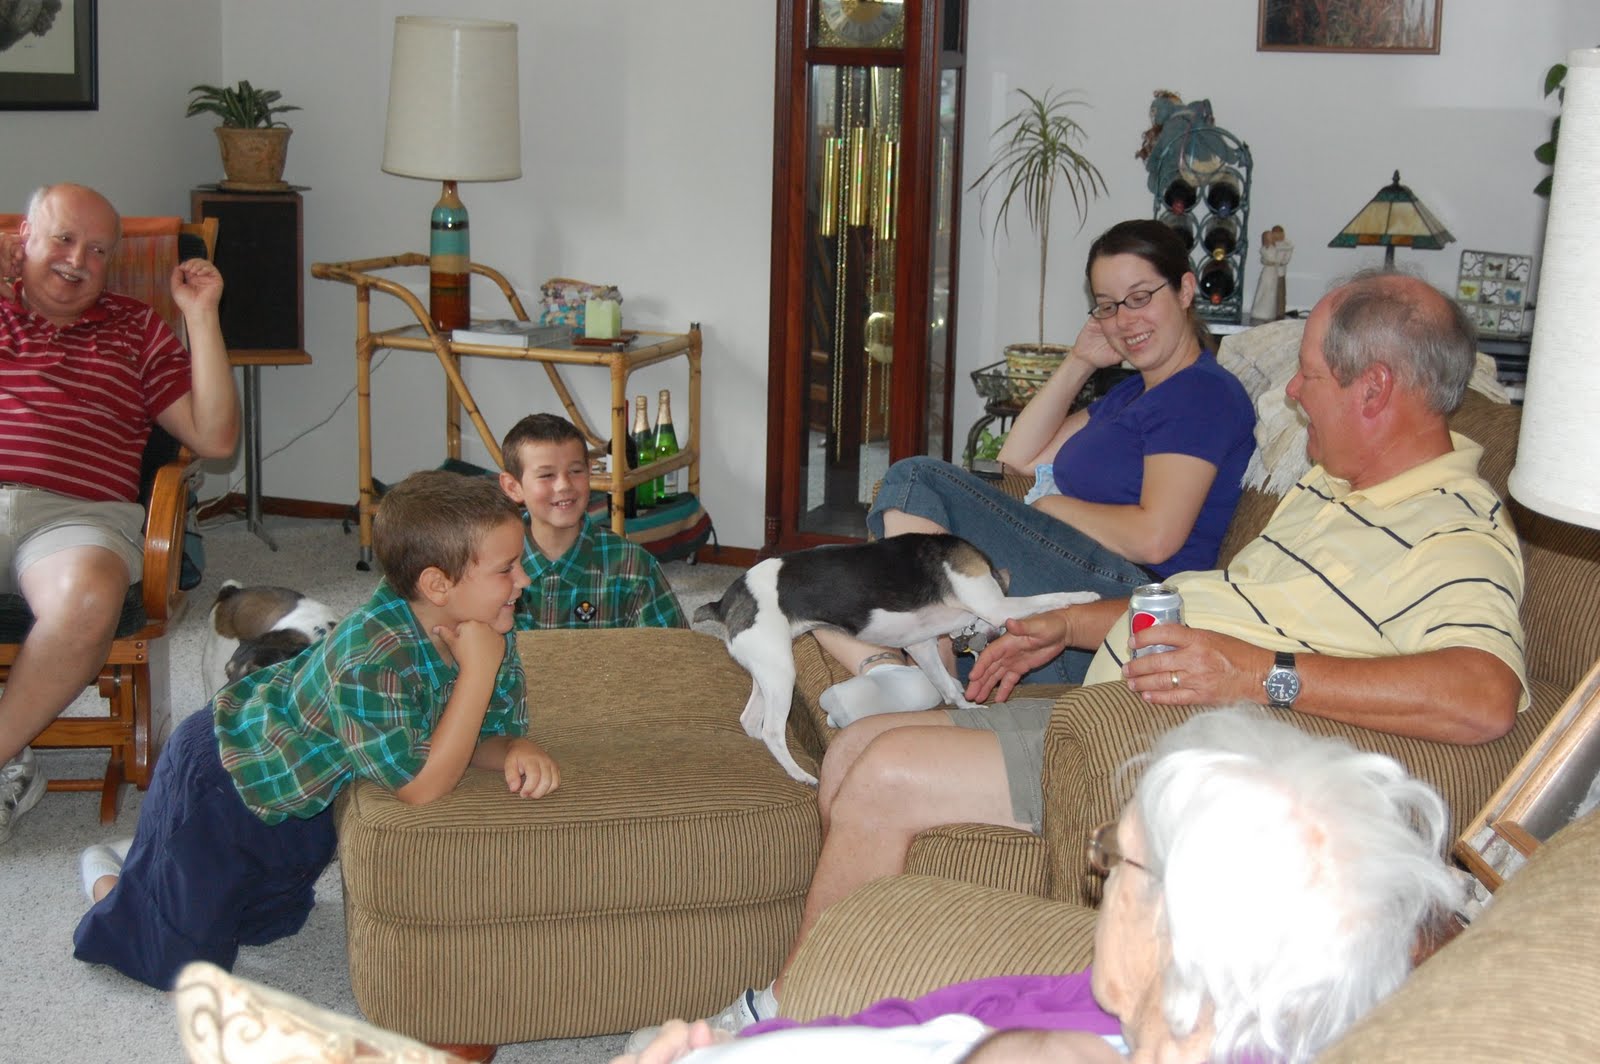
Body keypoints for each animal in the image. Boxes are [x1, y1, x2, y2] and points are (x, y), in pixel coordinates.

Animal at [694, 533, 1099, 785]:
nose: (993, 637)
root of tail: (725, 600)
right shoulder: (996, 605)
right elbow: (1047, 599)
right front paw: (1084, 596)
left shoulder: (921, 646)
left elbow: (947, 688)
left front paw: (966, 706)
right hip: (781, 675)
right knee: (772, 731)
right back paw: (800, 774)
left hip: (768, 670)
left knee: (751, 720)